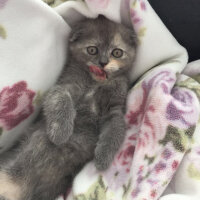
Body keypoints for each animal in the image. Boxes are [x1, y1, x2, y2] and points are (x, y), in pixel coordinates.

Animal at [0, 15, 137, 200]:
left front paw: (103, 158)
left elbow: (115, 130)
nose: (103, 62)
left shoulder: (115, 110)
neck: (95, 82)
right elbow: (61, 100)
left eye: (117, 52)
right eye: (92, 50)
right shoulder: (64, 86)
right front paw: (60, 133)